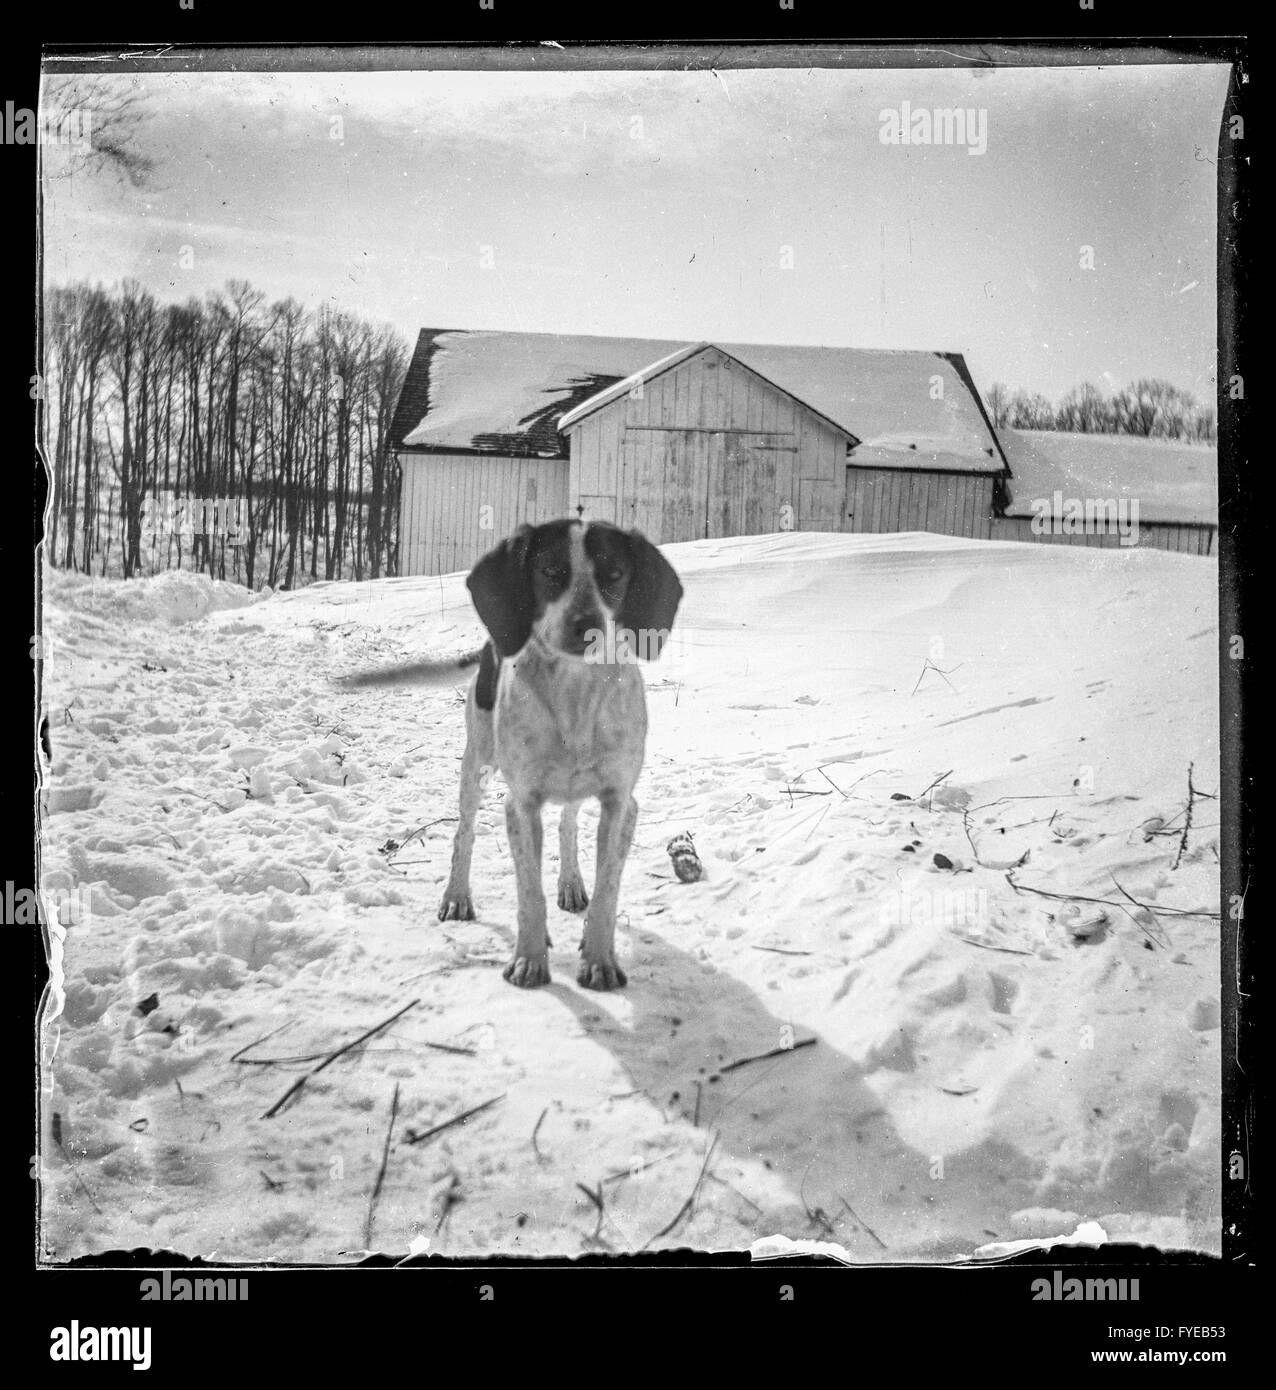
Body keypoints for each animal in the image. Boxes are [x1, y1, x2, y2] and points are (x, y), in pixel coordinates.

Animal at [339, 522, 678, 989]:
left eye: (614, 575)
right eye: (550, 571)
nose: (587, 624)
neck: (573, 692)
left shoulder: (620, 804)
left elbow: (606, 891)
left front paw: (599, 959)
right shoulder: (522, 804)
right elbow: (529, 893)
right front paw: (530, 961)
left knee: (568, 825)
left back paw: (570, 883)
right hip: (476, 763)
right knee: (464, 834)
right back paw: (457, 897)